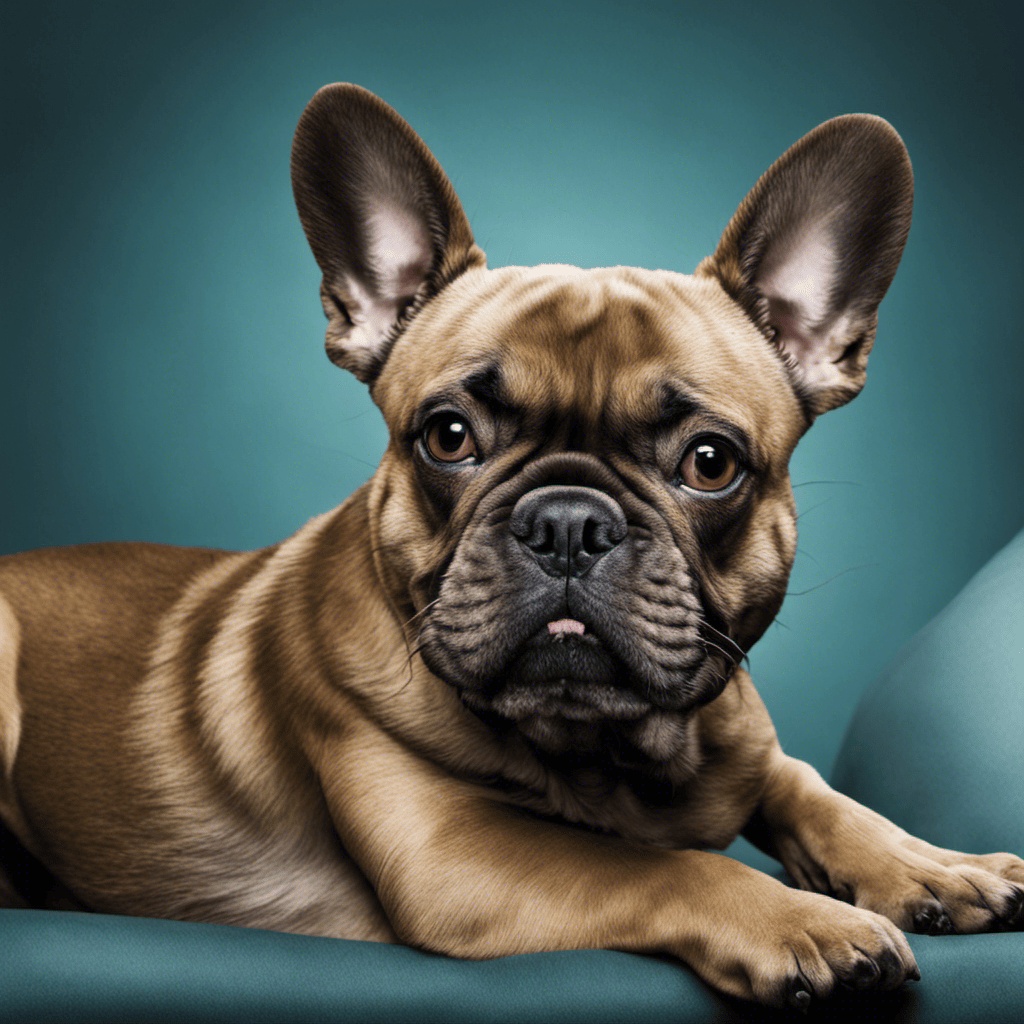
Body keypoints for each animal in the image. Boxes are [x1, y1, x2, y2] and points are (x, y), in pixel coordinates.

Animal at [0, 81, 1019, 1007]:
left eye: (710, 461)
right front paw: (807, 921)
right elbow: (658, 866)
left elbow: (811, 787)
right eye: (447, 436)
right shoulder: (456, 855)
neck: (614, 756)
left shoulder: (749, 748)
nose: (567, 522)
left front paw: (933, 864)